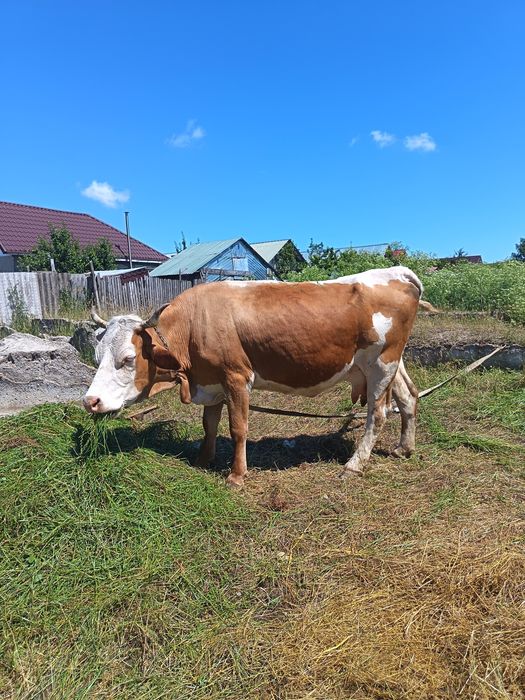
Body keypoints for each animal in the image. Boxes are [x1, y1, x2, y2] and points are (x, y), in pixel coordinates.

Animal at [84, 266, 424, 486]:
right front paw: (203, 460)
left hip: (381, 363)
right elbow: (209, 424)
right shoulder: (212, 381)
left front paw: (236, 475)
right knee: (408, 397)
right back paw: (404, 448)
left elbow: (238, 428)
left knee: (377, 415)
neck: (193, 324)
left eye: (128, 359)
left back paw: (354, 465)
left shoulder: (236, 377)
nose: (90, 401)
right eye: (97, 355)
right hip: (391, 363)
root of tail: (397, 272)